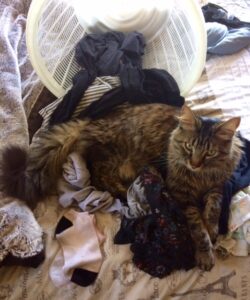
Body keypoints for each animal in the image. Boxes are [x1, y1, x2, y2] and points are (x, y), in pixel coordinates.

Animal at [0, 104, 242, 270]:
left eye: (210, 153)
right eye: (189, 147)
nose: (195, 163)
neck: (200, 177)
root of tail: (89, 123)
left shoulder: (217, 187)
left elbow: (214, 207)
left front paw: (212, 229)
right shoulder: (181, 194)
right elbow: (197, 225)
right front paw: (205, 252)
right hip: (115, 159)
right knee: (99, 179)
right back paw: (127, 192)